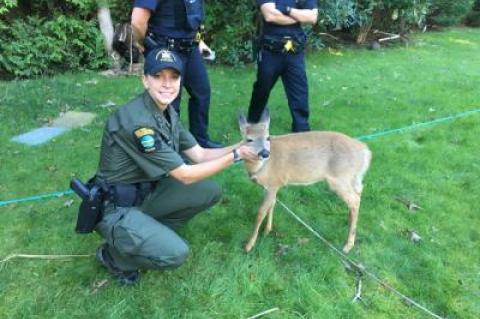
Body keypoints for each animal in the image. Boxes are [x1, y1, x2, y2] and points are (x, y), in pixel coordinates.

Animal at [239, 110, 372, 255]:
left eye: (267, 137)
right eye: (249, 139)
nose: (264, 153)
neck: (261, 167)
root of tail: (365, 151)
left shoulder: (273, 184)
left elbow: (260, 213)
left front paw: (249, 245)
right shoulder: (272, 186)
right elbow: (272, 204)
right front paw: (267, 230)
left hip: (340, 178)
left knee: (355, 200)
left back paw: (348, 244)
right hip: (352, 178)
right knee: (358, 194)